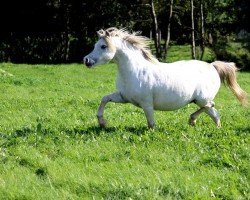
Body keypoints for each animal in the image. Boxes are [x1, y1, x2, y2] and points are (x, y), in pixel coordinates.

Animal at [84, 27, 248, 128]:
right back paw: (199, 123)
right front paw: (102, 122)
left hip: (202, 99)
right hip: (199, 100)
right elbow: (105, 99)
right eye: (95, 45)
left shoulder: (146, 104)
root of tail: (212, 66)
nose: (86, 60)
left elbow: (151, 124)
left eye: (103, 46)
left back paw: (193, 120)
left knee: (211, 108)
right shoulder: (123, 97)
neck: (134, 71)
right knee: (214, 113)